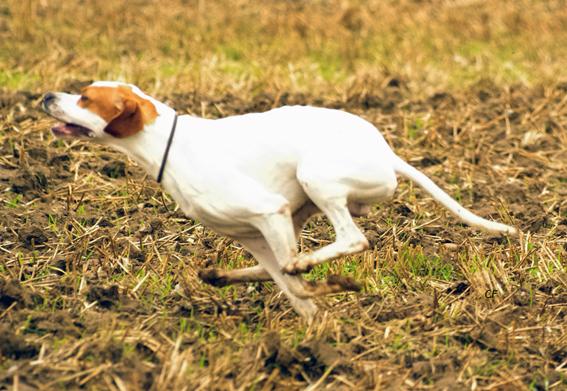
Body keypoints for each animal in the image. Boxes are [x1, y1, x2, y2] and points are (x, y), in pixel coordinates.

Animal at [42, 82, 516, 322]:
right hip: (301, 207)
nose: (46, 95)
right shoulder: (254, 233)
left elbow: (299, 285)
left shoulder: (268, 211)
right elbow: (290, 288)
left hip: (315, 178)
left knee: (351, 240)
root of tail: (386, 153)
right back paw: (225, 275)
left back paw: (305, 264)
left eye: (85, 98)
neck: (167, 144)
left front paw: (328, 299)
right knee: (289, 261)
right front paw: (315, 327)